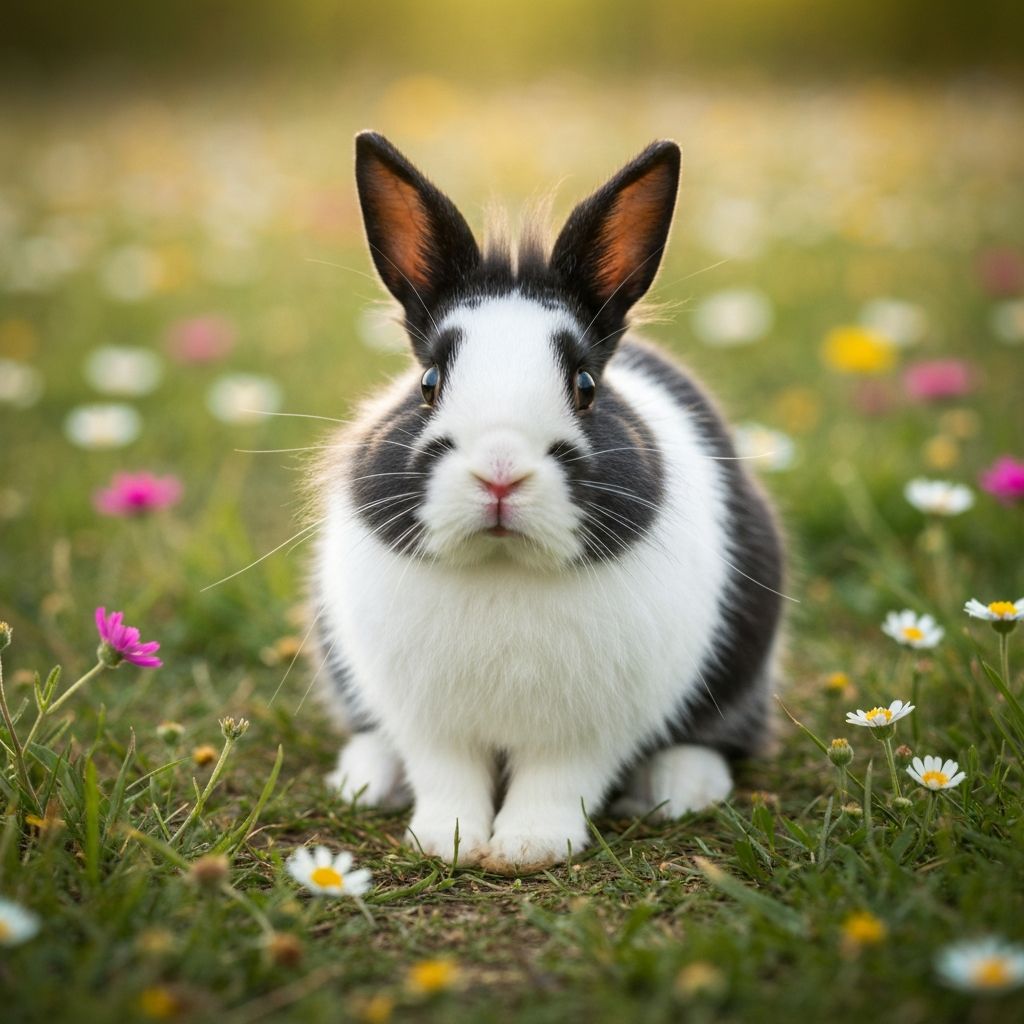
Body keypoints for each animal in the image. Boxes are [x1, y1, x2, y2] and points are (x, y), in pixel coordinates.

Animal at [309, 131, 785, 875]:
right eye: (429, 381)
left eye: (585, 385)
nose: (500, 473)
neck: (503, 566)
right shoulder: (429, 721)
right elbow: (447, 777)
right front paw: (444, 842)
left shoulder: (589, 731)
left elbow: (557, 782)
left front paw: (529, 848)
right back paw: (366, 779)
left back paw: (681, 788)